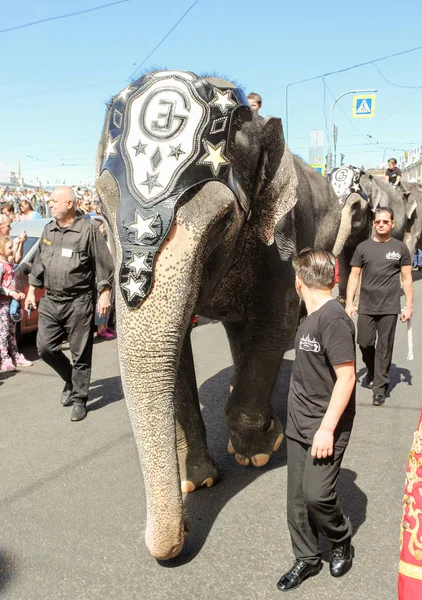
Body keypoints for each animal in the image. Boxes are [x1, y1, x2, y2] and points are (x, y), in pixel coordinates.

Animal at [95, 71, 346, 564]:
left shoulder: (280, 239)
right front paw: (197, 479)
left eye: (225, 220)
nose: (178, 537)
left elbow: (276, 325)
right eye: (100, 209)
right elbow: (176, 354)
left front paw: (259, 451)